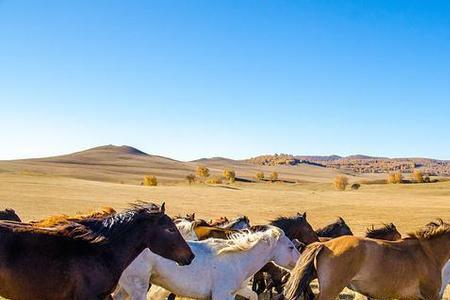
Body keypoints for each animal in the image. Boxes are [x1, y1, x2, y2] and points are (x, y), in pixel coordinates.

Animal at [114, 226, 300, 298]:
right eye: (291, 247)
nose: (299, 263)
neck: (238, 260)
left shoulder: (235, 291)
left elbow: (254, 295)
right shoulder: (221, 295)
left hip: (126, 287)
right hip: (138, 287)